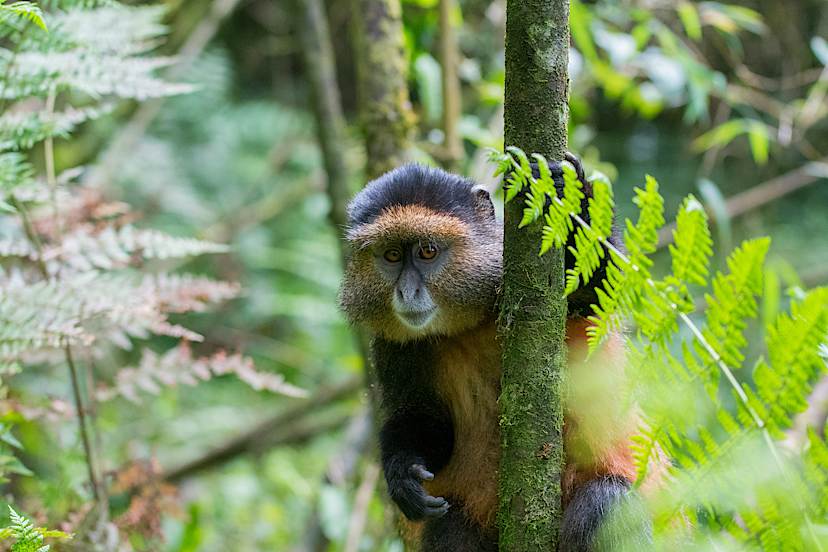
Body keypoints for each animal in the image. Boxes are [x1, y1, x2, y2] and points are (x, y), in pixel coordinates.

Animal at [338, 157, 662, 551]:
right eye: (392, 255)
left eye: (428, 251)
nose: (407, 292)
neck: (466, 323)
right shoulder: (392, 348)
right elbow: (424, 418)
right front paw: (402, 473)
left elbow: (599, 290)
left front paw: (570, 192)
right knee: (451, 526)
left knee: (607, 501)